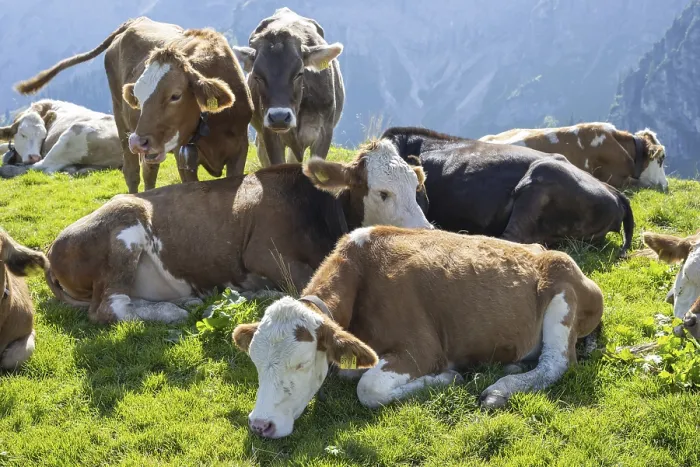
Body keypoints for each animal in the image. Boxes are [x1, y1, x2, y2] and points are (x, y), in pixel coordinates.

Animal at [15, 17, 254, 193]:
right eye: (138, 97)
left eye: (175, 96)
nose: (138, 142)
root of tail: (135, 21)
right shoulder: (183, 157)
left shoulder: (239, 149)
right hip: (120, 120)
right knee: (133, 173)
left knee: (149, 170)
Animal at [44, 140, 431, 324]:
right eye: (382, 192)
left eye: (416, 186)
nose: (427, 233)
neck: (316, 211)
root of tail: (51, 249)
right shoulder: (262, 252)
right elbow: (300, 285)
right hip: (125, 228)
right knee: (109, 307)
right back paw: (172, 313)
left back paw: (186, 300)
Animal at [232, 226, 604, 438]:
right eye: (255, 363)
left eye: (301, 363)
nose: (260, 424)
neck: (363, 274)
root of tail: (546, 250)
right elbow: (351, 372)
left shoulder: (422, 350)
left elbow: (369, 388)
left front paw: (447, 378)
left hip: (562, 294)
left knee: (557, 362)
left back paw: (501, 388)